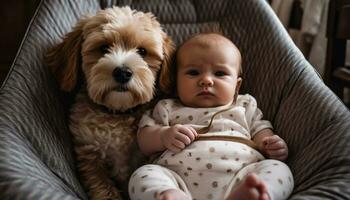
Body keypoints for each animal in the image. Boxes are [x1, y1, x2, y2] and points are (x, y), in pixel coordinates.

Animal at [45, 6, 174, 200]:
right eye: (104, 48)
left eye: (142, 52)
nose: (122, 72)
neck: (118, 114)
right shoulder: (90, 157)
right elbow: (103, 188)